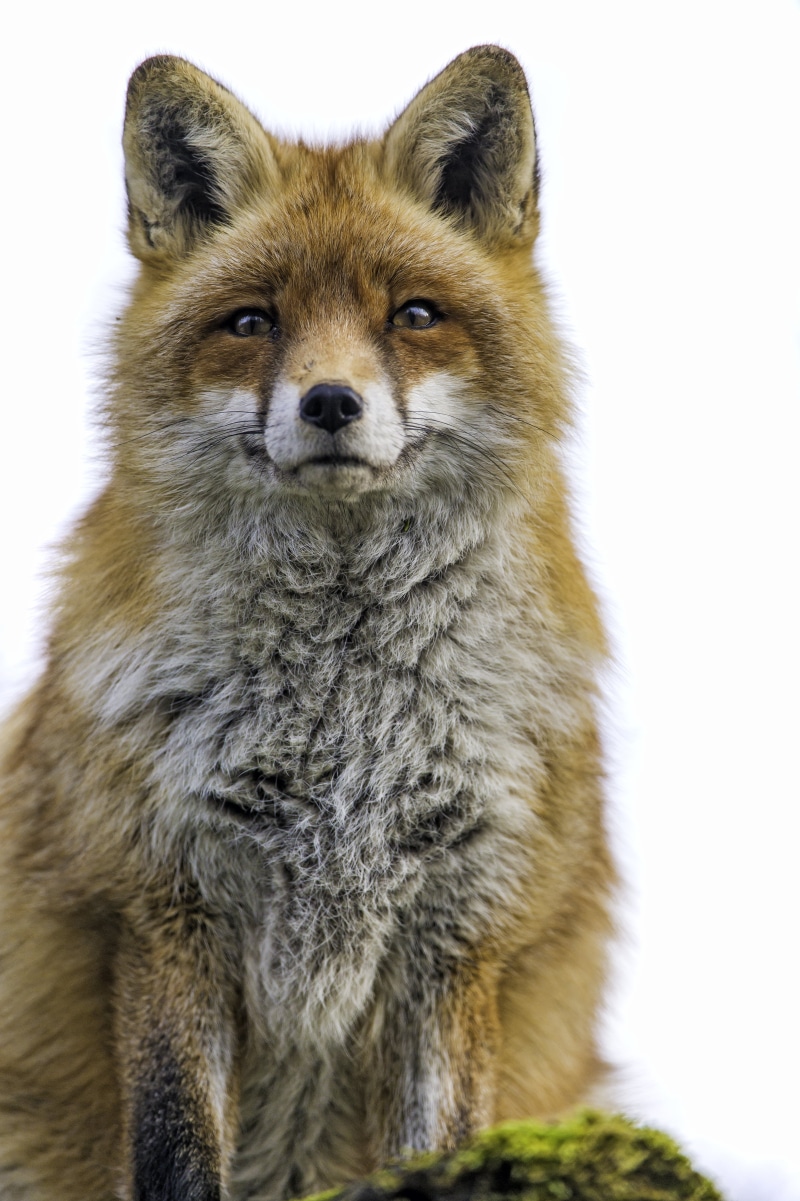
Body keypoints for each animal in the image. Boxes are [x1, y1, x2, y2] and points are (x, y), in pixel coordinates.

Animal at [0, 44, 614, 1201]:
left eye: (412, 314)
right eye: (253, 321)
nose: (330, 401)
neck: (342, 727)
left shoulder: (459, 931)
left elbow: (441, 1142)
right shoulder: (163, 905)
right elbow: (176, 1147)